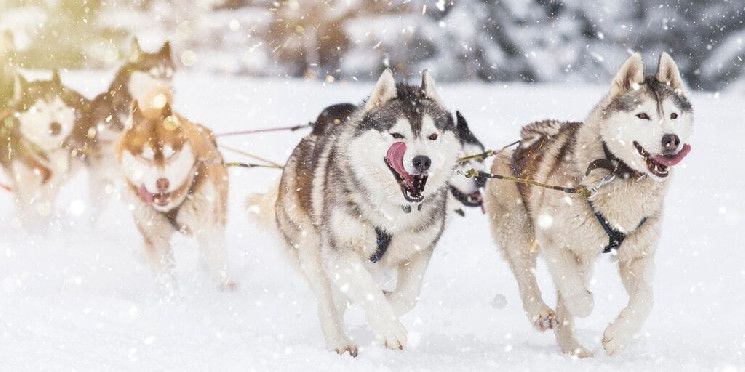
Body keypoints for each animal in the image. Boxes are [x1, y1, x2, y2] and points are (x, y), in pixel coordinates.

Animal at [0, 70, 89, 227]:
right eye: (39, 109)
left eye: (59, 108)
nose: (56, 126)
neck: (42, 151)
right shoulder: (25, 184)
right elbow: (29, 213)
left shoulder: (51, 184)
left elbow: (43, 209)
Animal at [116, 101, 235, 290]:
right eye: (146, 158)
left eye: (171, 155)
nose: (162, 182)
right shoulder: (155, 236)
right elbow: (165, 277)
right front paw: (171, 296)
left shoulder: (207, 226)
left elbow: (217, 261)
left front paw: (225, 290)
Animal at [274, 70, 460, 354]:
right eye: (397, 135)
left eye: (433, 136)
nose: (422, 161)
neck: (392, 213)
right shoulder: (340, 250)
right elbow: (366, 291)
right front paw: (390, 329)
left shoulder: (419, 250)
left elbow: (408, 296)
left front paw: (388, 306)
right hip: (309, 247)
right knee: (326, 300)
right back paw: (339, 340)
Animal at [482, 53, 692, 358]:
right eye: (642, 115)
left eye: (674, 116)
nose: (671, 140)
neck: (620, 174)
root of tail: (522, 139)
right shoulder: (554, 239)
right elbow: (575, 294)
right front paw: (585, 303)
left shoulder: (637, 255)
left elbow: (645, 300)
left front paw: (617, 337)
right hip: (517, 226)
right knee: (525, 273)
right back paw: (541, 313)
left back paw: (574, 350)